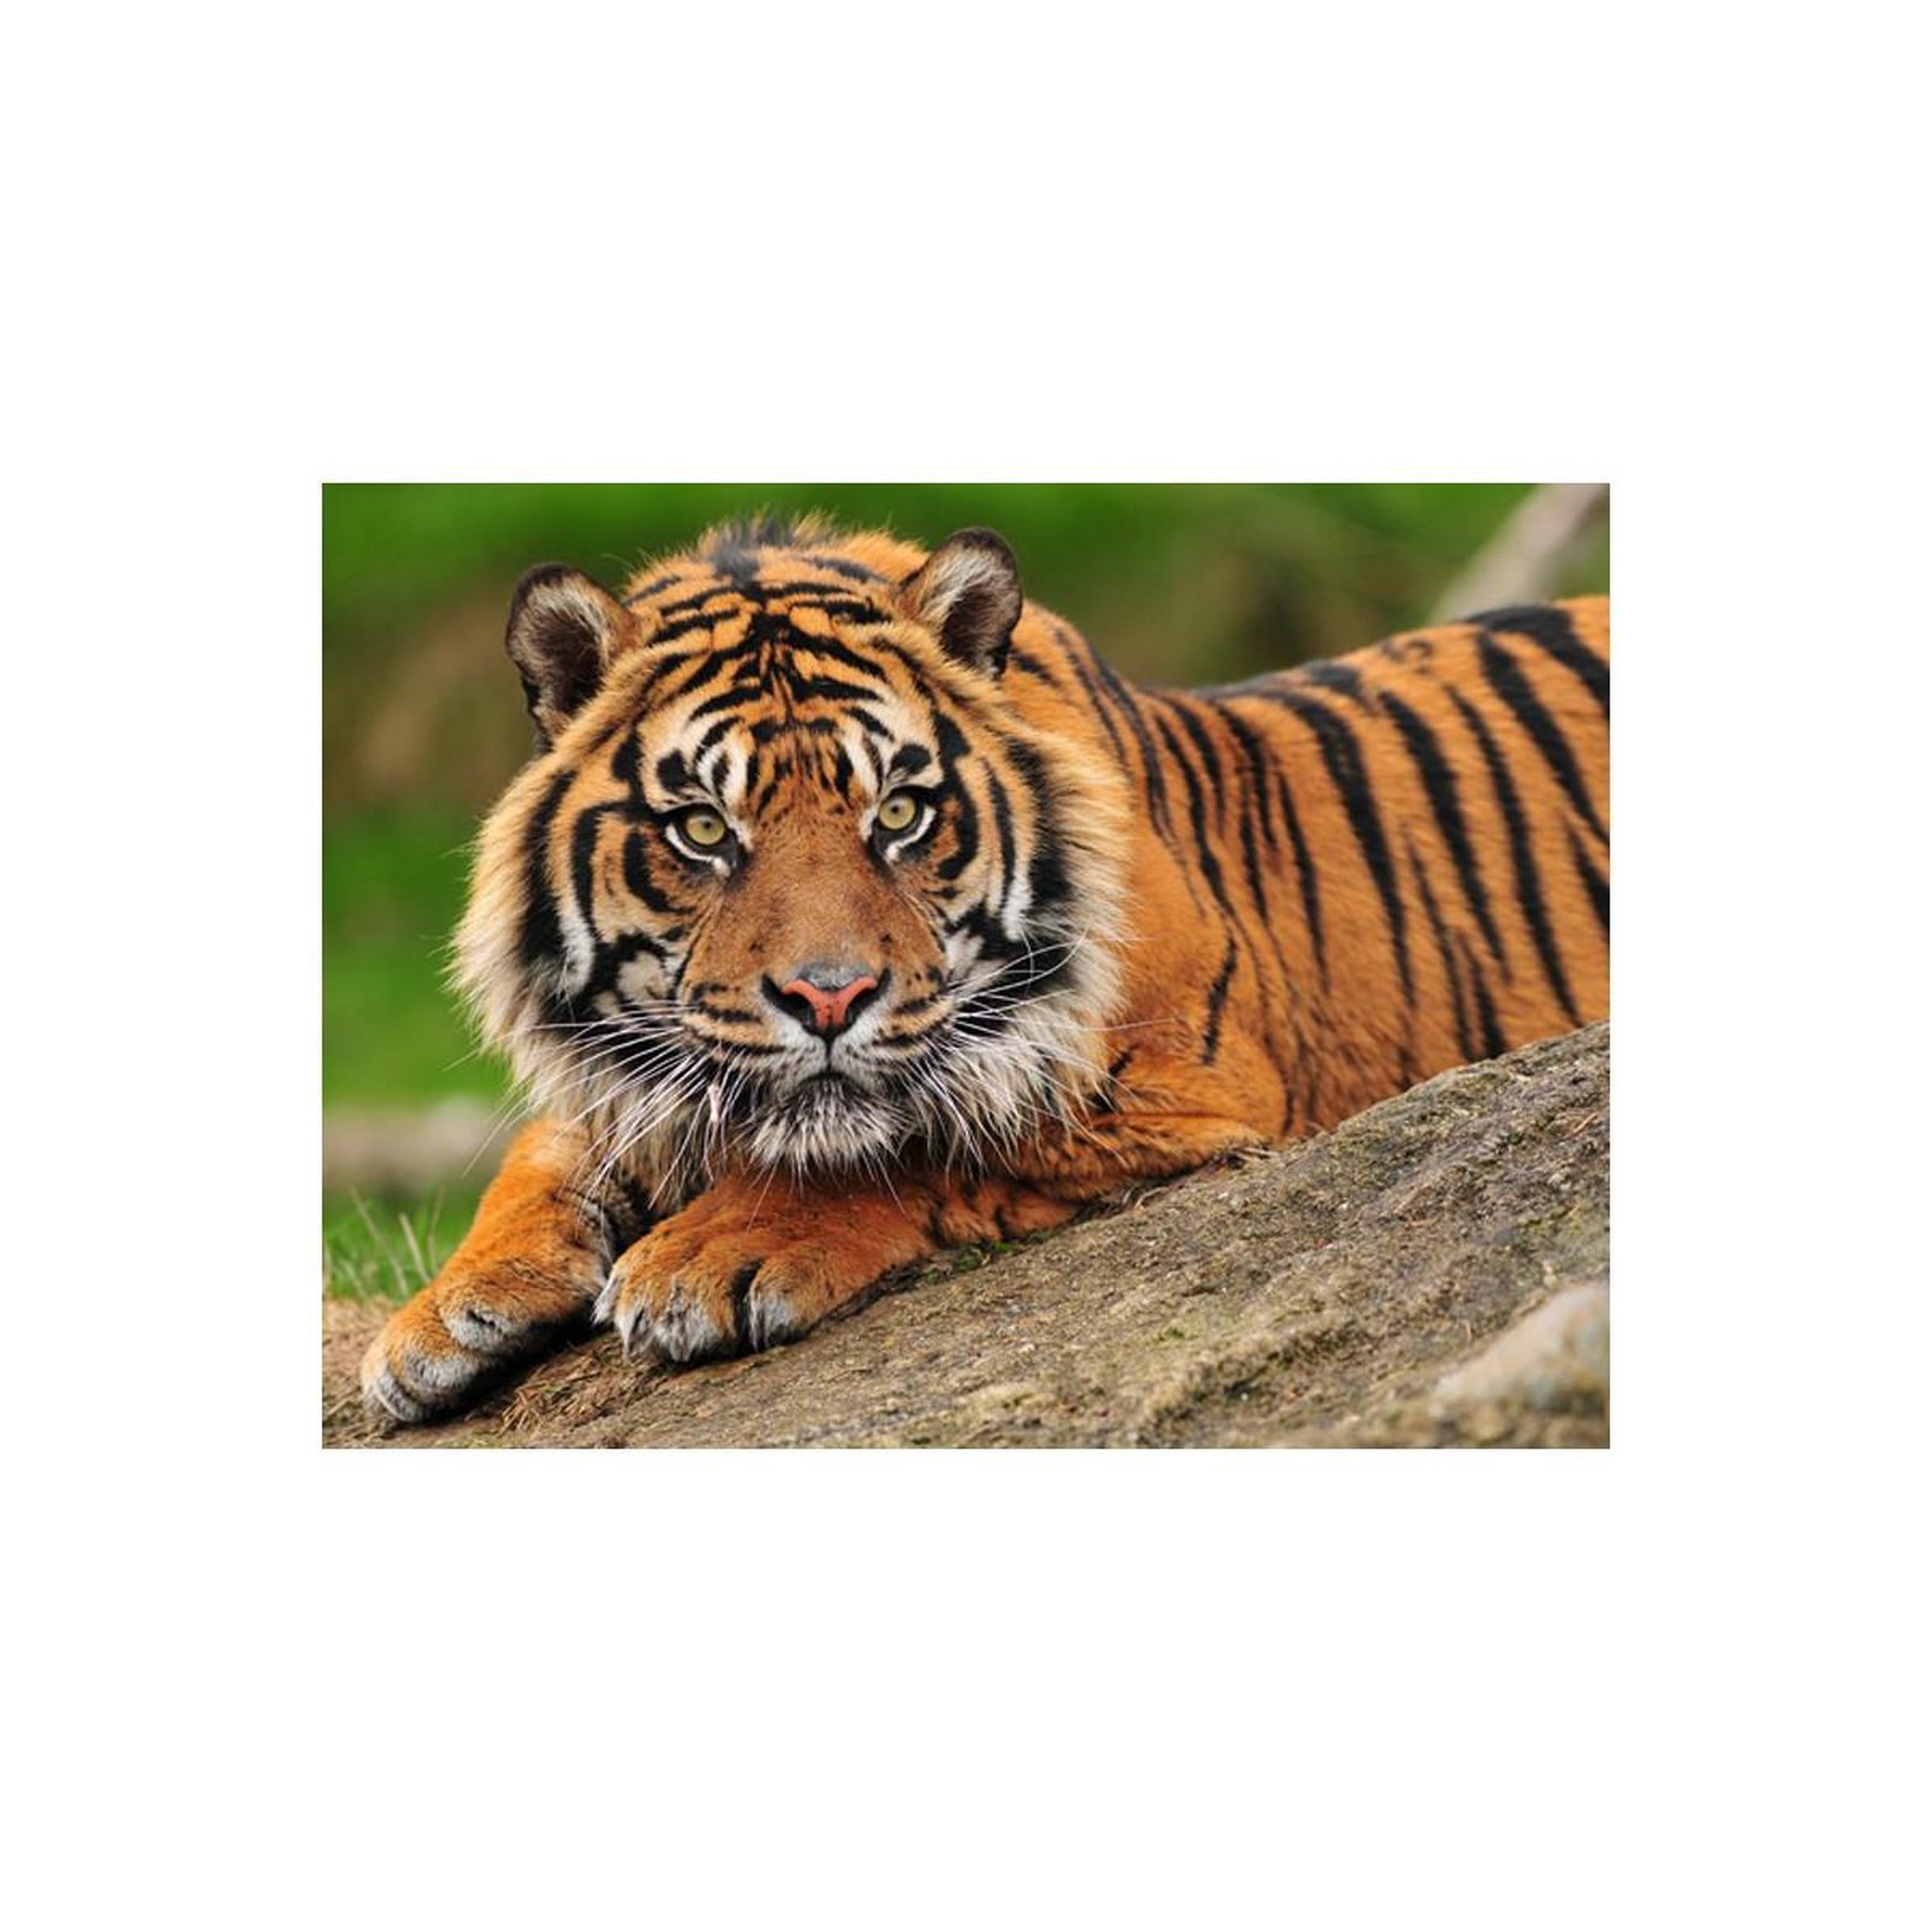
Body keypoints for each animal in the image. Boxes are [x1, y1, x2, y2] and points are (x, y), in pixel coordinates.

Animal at [360, 513, 1609, 1425]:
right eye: (704, 829)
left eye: (899, 813)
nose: (826, 997)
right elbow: (549, 1147)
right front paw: (440, 1316)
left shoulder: (1179, 1088)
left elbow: (907, 1139)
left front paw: (704, 1255)